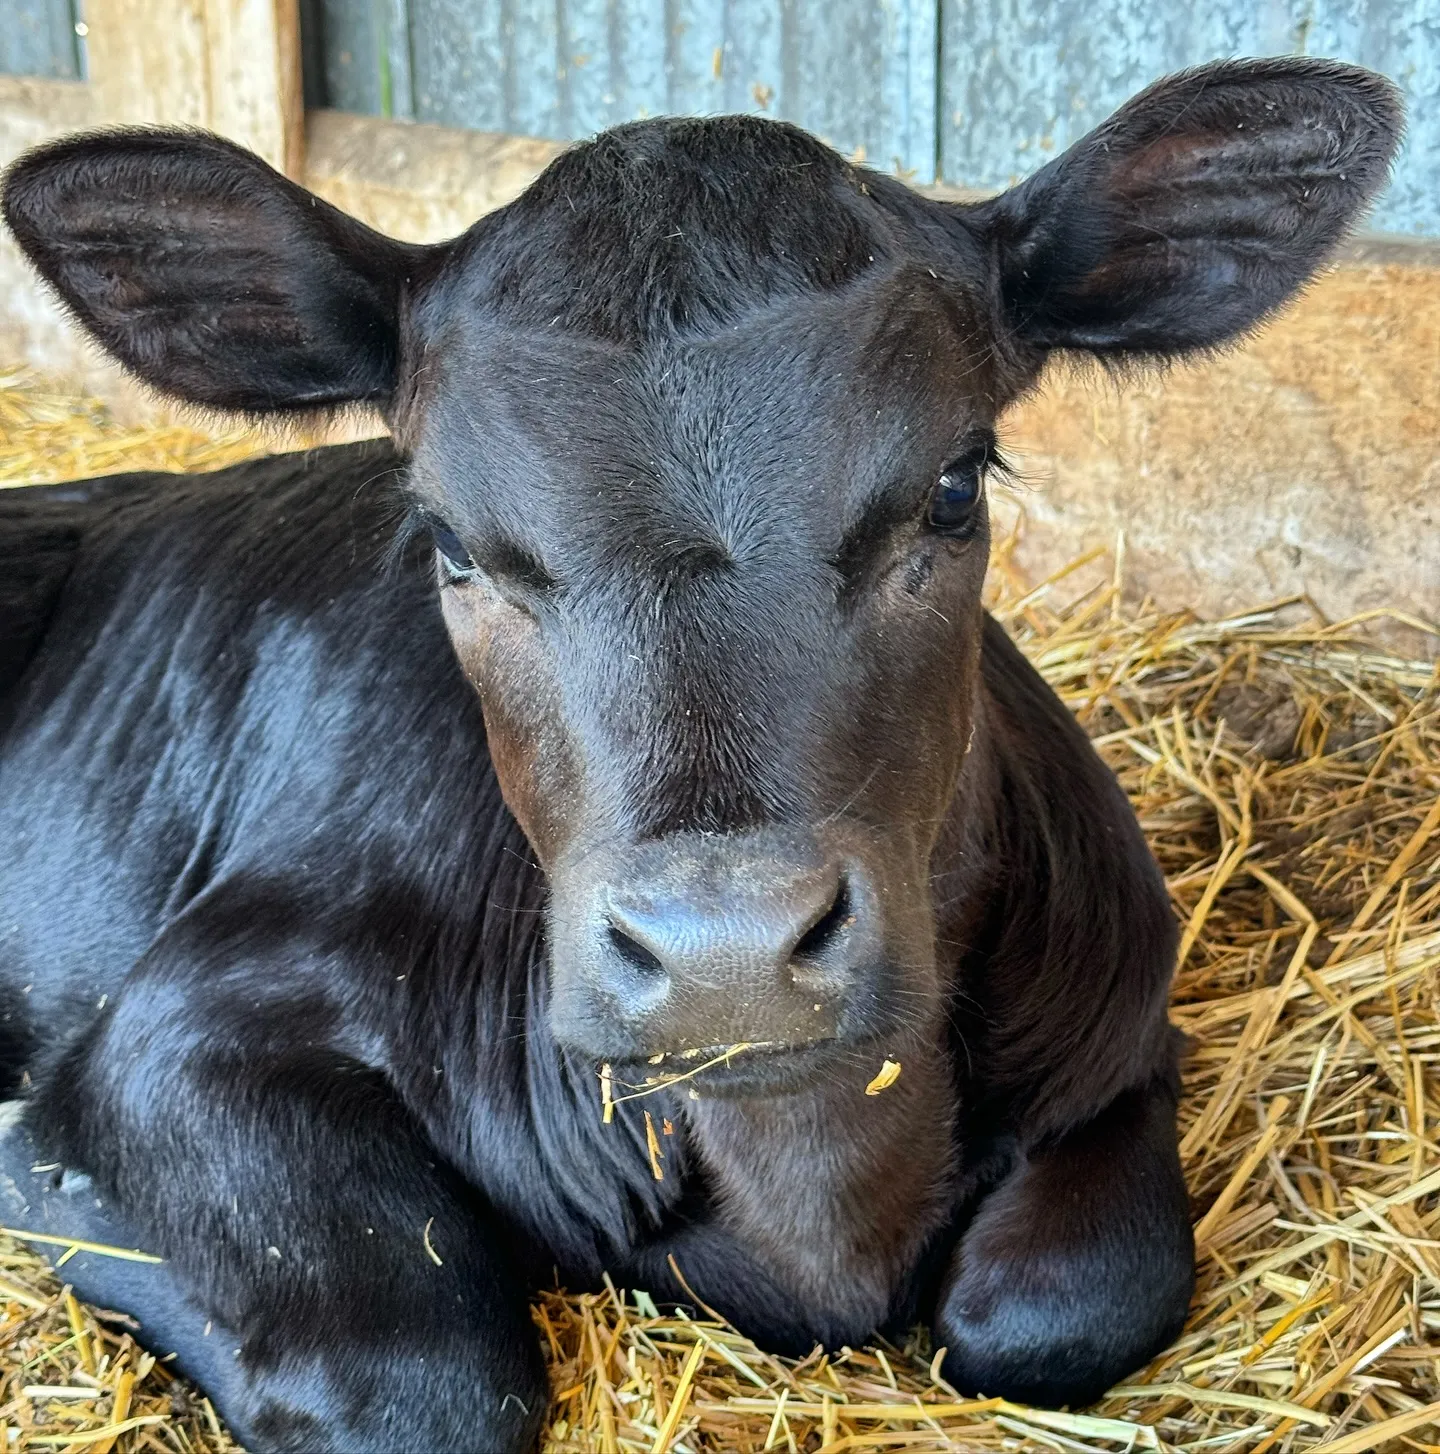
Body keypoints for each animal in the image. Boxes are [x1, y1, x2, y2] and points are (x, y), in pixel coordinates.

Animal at [0, 57, 1400, 1454]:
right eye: (450, 542)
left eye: (955, 486)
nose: (725, 957)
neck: (820, 1199)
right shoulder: (183, 1025)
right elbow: (425, 1384)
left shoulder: (1123, 1030)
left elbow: (1060, 1303)